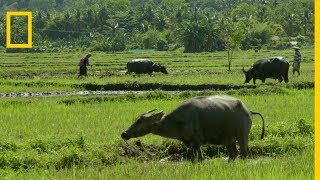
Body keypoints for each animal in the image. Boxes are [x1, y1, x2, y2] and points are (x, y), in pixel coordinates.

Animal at [120, 95, 264, 161]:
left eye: (140, 120)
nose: (124, 133)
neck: (177, 121)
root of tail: (248, 111)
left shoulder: (196, 143)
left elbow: (200, 158)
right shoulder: (190, 144)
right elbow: (194, 159)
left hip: (242, 136)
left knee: (244, 153)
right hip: (228, 140)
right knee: (233, 154)